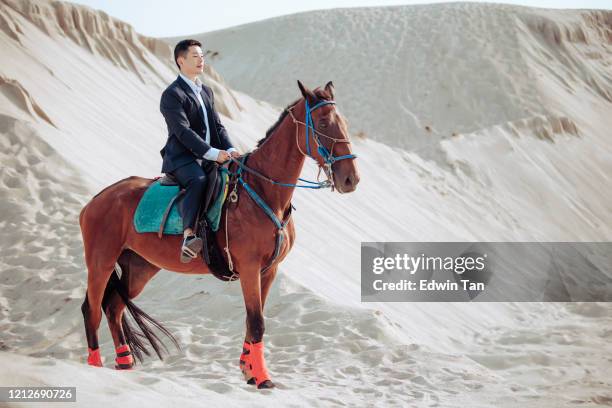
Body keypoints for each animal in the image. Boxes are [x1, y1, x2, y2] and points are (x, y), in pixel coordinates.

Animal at [79, 80, 360, 388]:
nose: (350, 179)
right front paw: (263, 378)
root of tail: (95, 200)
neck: (262, 191)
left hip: (139, 266)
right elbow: (257, 322)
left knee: (114, 307)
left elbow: (252, 321)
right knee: (92, 309)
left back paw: (124, 364)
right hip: (101, 262)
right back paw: (94, 366)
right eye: (322, 123)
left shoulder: (268, 270)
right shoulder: (249, 267)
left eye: (344, 123)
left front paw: (249, 370)